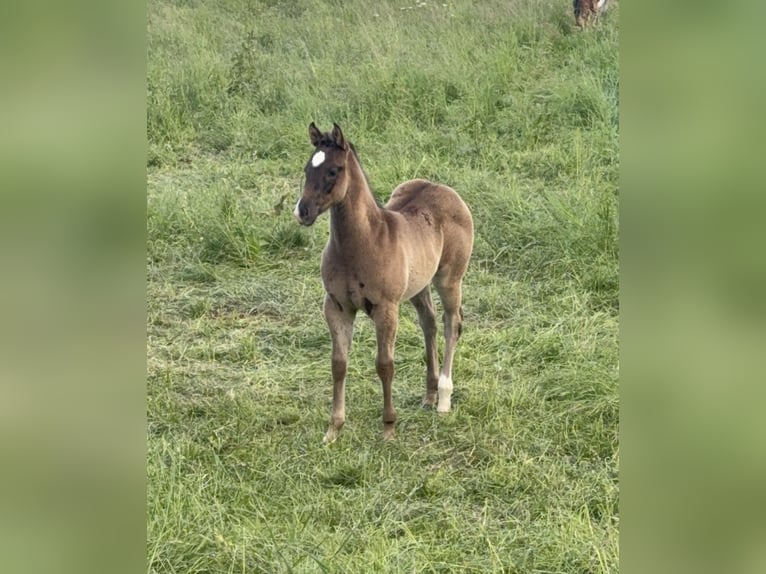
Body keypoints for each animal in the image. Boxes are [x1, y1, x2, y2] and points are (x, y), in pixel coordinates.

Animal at [293, 123, 474, 442]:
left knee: (452, 323)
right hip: (419, 285)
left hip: (450, 279)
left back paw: (443, 398)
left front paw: (389, 428)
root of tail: (444, 189)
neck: (361, 244)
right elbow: (338, 364)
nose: (303, 211)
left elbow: (385, 365)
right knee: (429, 322)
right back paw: (429, 394)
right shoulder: (336, 307)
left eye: (334, 171)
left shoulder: (386, 309)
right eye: (307, 168)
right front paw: (333, 429)